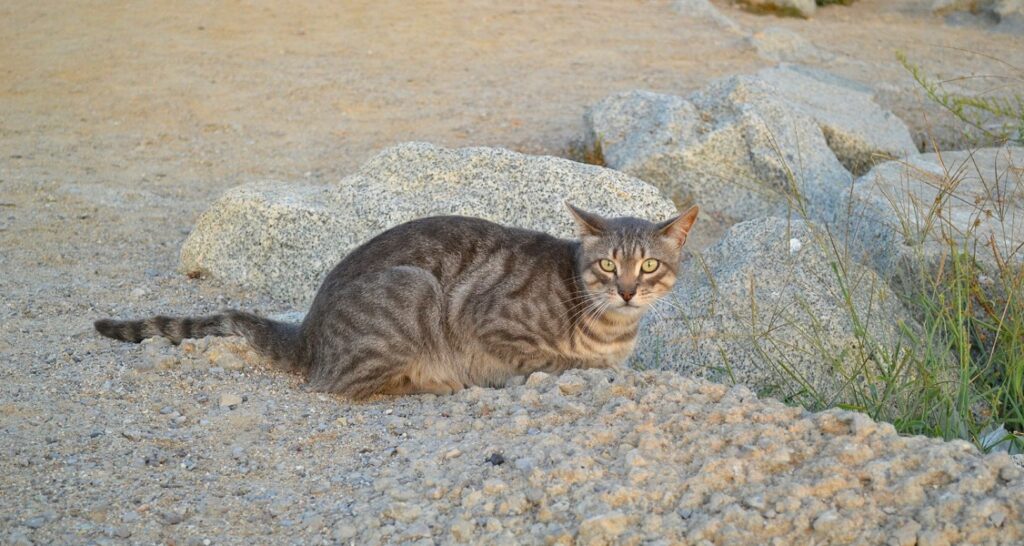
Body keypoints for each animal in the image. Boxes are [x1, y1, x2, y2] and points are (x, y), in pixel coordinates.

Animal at [96, 201, 700, 397]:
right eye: (607, 265)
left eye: (649, 265)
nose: (627, 289)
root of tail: (307, 329)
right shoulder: (488, 321)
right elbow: (557, 359)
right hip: (414, 290)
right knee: (343, 385)